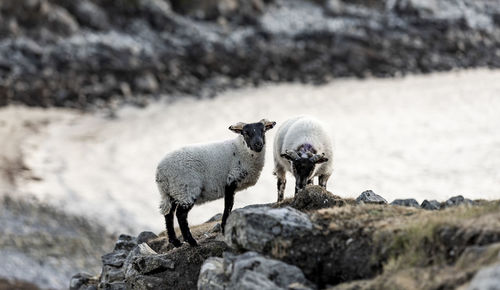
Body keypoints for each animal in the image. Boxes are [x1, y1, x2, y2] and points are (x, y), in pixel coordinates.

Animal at [155, 118, 276, 247]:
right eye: (246, 133)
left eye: (263, 130)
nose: (258, 144)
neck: (241, 150)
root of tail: (161, 172)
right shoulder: (230, 181)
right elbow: (228, 206)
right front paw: (224, 229)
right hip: (186, 189)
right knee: (180, 215)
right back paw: (192, 242)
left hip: (172, 192)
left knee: (169, 214)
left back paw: (176, 242)